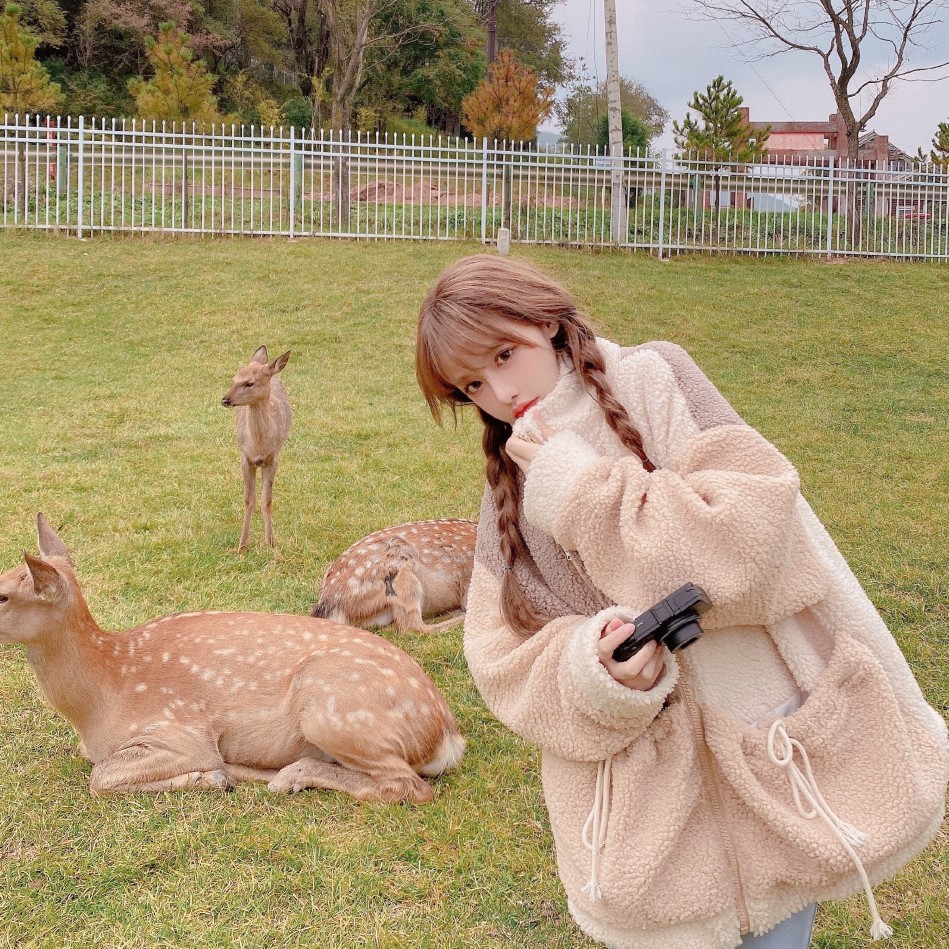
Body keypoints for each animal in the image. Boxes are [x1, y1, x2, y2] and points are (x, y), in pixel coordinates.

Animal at [222, 346, 292, 556]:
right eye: (234, 379)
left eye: (249, 383)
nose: (225, 399)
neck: (259, 445)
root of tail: (269, 367)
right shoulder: (245, 457)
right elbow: (248, 500)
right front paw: (242, 546)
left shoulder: (273, 457)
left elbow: (267, 500)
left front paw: (271, 543)